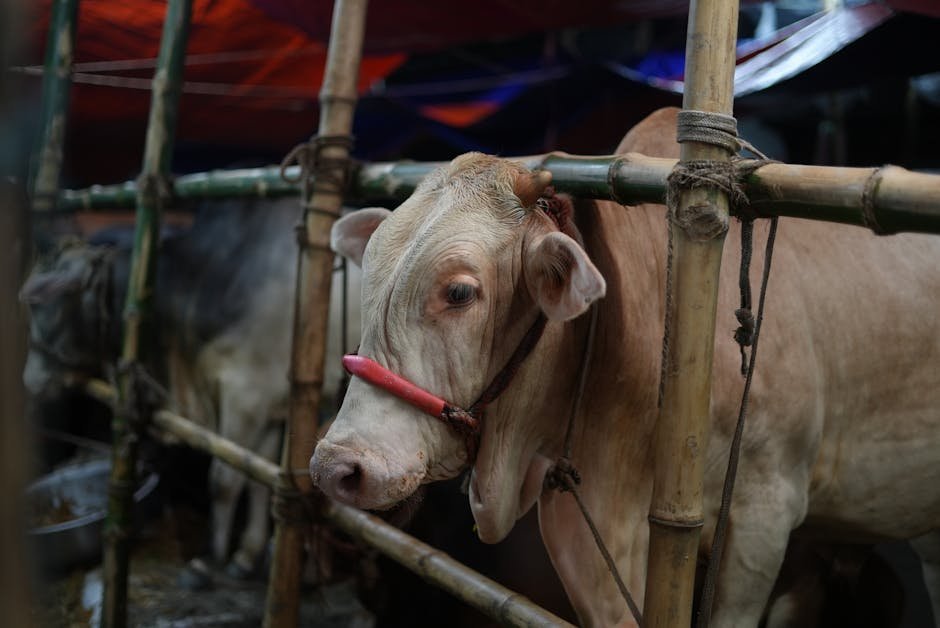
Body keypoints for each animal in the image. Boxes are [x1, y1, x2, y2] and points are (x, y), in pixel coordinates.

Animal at [20, 197, 360, 581]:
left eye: (47, 301)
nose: (28, 379)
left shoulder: (244, 399)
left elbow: (224, 481)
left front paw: (210, 561)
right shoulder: (270, 407)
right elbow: (257, 478)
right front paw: (246, 555)